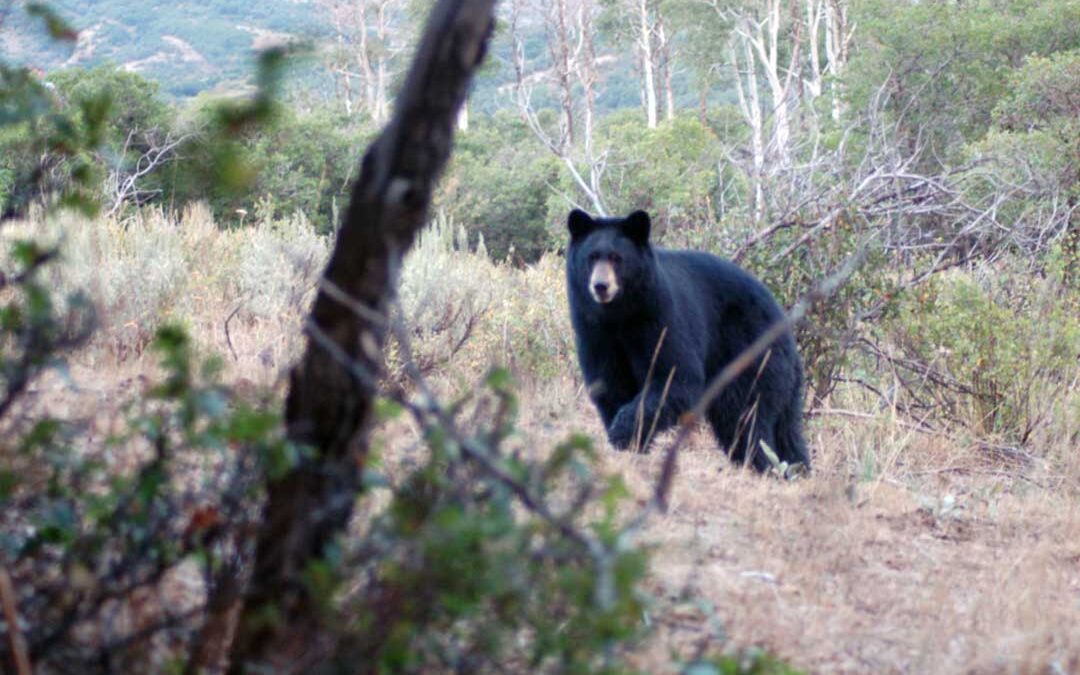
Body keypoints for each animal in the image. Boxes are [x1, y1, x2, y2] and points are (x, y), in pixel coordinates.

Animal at [570, 208, 807, 470]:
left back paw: (759, 464)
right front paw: (631, 442)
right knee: (787, 430)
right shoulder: (595, 333)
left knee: (743, 415)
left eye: (616, 257)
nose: (600, 286)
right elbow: (609, 383)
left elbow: (675, 377)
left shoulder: (660, 317)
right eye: (592, 257)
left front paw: (622, 433)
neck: (620, 315)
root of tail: (784, 322)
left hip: (751, 352)